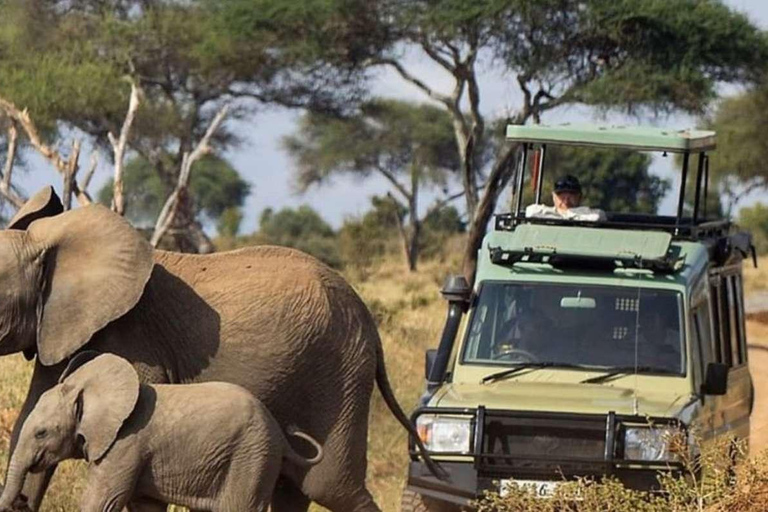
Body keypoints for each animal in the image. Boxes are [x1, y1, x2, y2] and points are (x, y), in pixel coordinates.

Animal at [0, 354, 320, 510]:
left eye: (41, 433)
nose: (22, 501)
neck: (88, 386)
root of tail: (281, 435)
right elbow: (145, 506)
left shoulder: (126, 446)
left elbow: (102, 501)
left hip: (252, 458)